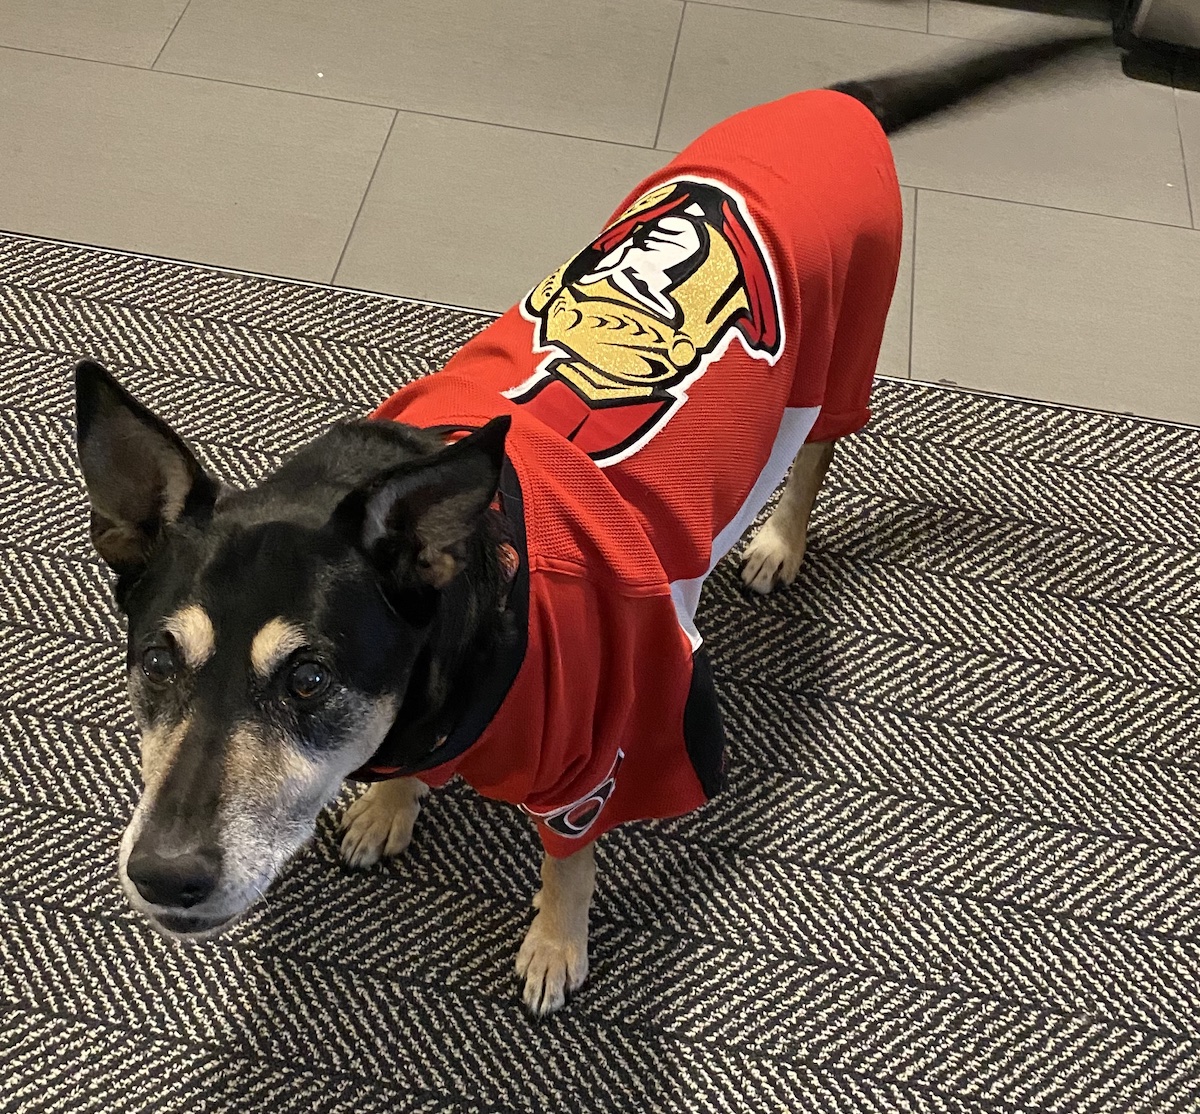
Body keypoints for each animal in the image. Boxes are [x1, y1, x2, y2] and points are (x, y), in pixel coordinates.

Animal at [75, 36, 1104, 1017]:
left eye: (311, 678)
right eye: (156, 660)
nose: (163, 875)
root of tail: (836, 100)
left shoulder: (600, 759)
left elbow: (569, 860)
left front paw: (554, 946)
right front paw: (390, 805)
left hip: (844, 345)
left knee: (815, 451)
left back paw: (780, 541)